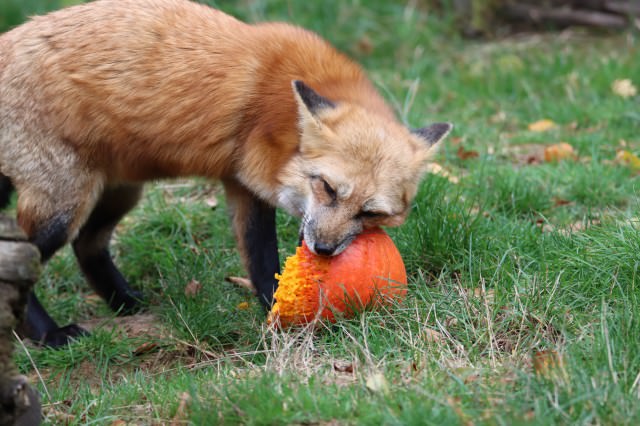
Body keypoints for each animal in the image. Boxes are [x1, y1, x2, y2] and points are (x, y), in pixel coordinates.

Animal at [0, 0, 452, 346]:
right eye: (326, 188)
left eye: (370, 213)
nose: (324, 250)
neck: (282, 121)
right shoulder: (252, 181)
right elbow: (264, 255)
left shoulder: (243, 185)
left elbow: (262, 263)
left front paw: (278, 311)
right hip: (64, 204)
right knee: (25, 254)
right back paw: (48, 335)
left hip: (118, 192)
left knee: (88, 246)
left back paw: (125, 302)